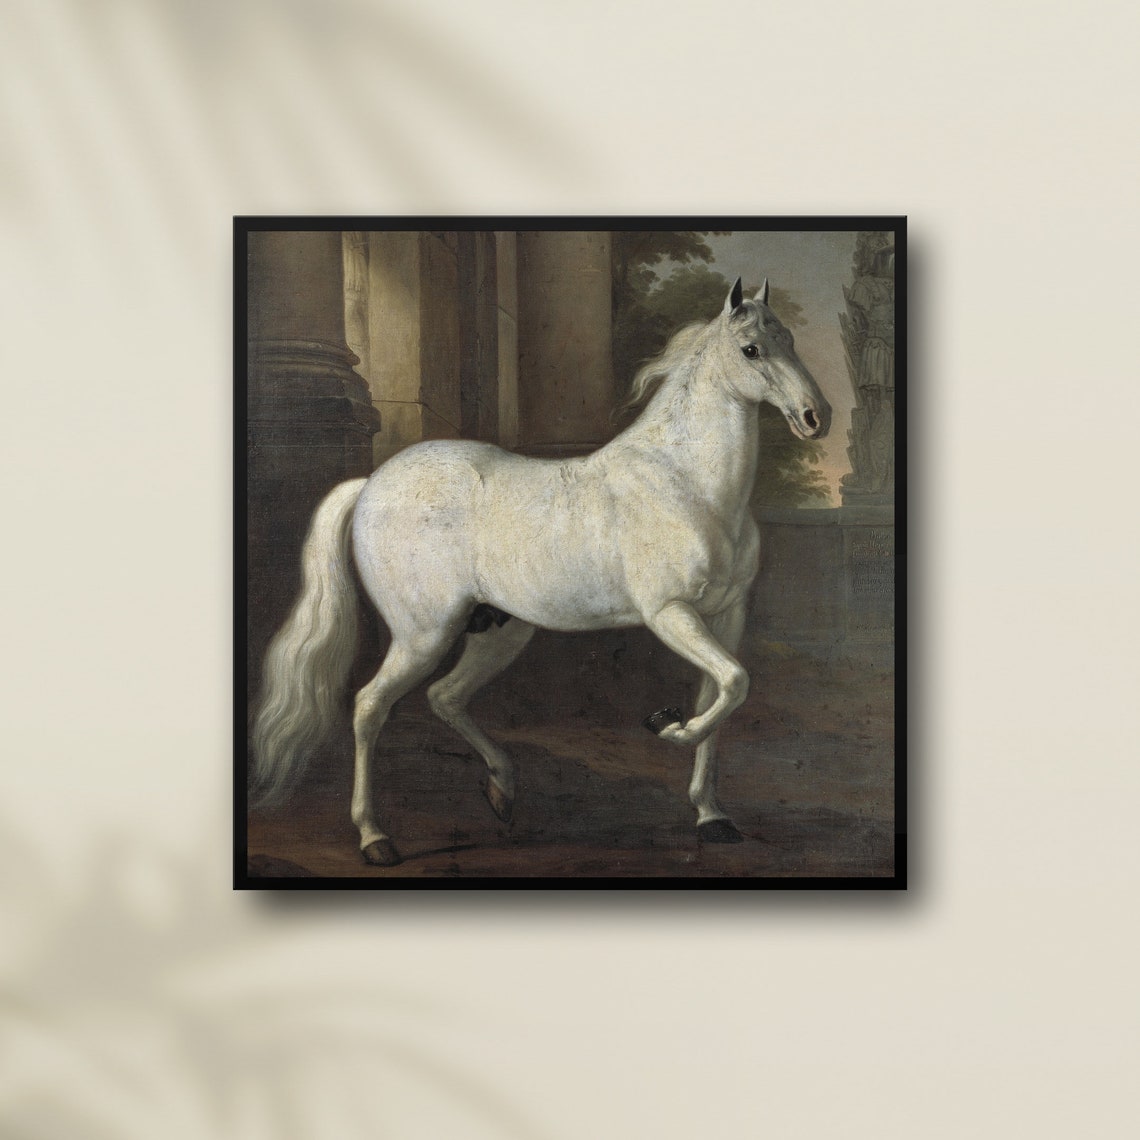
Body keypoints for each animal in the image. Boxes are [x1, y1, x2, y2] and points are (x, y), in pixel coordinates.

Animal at [251, 277, 832, 866]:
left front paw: (711, 816)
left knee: (446, 696)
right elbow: (734, 684)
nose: (816, 417)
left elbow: (722, 695)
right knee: (370, 706)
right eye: (751, 350)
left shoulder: (726, 617)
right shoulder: (670, 613)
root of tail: (370, 483)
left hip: (498, 629)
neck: (685, 480)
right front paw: (669, 728)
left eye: (789, 340)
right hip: (424, 633)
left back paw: (502, 791)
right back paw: (374, 837)